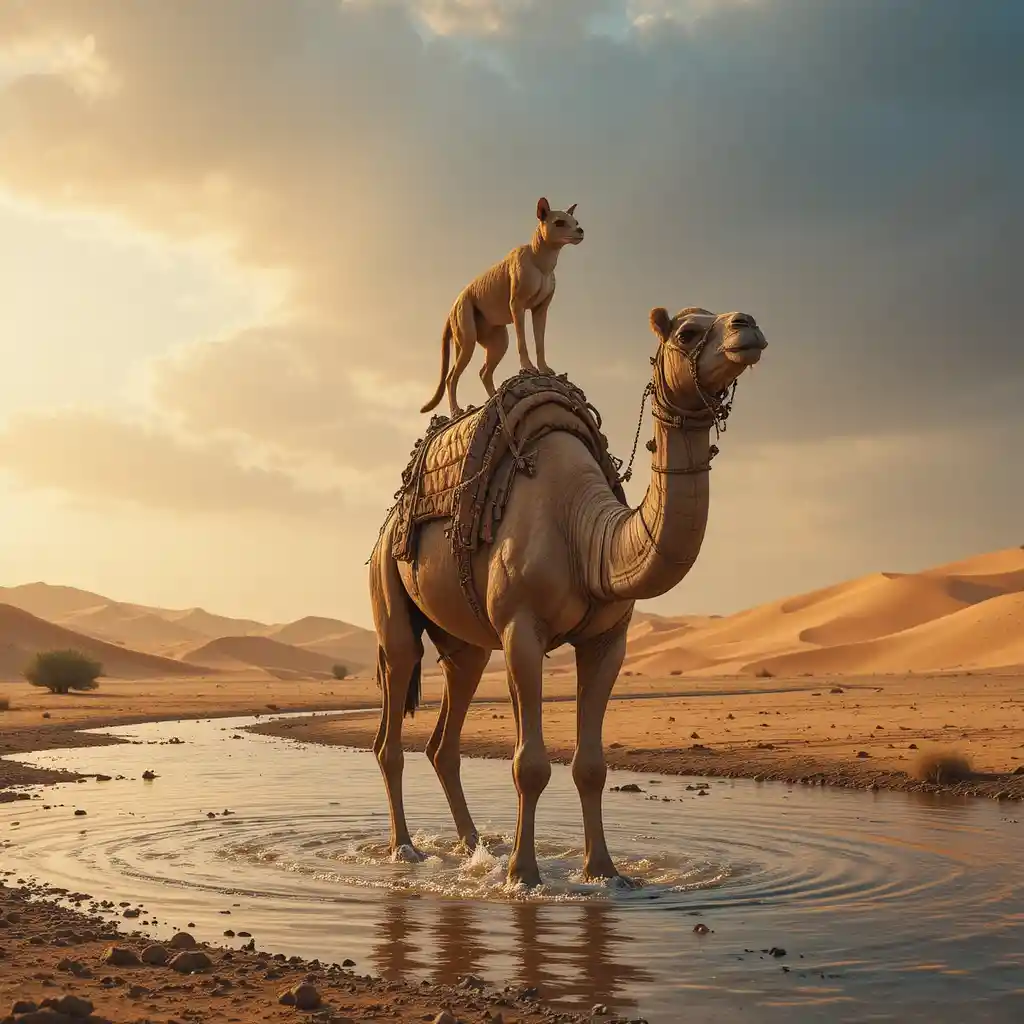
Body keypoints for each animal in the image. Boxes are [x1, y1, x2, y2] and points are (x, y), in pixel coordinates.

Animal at [369, 305, 768, 887]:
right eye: (688, 332)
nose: (747, 326)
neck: (590, 536)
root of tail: (386, 526)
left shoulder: (608, 640)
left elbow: (591, 765)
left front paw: (604, 871)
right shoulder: (522, 630)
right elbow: (530, 764)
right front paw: (523, 874)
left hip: (468, 647)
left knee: (446, 738)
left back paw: (474, 849)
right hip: (389, 593)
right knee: (392, 723)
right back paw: (406, 850)